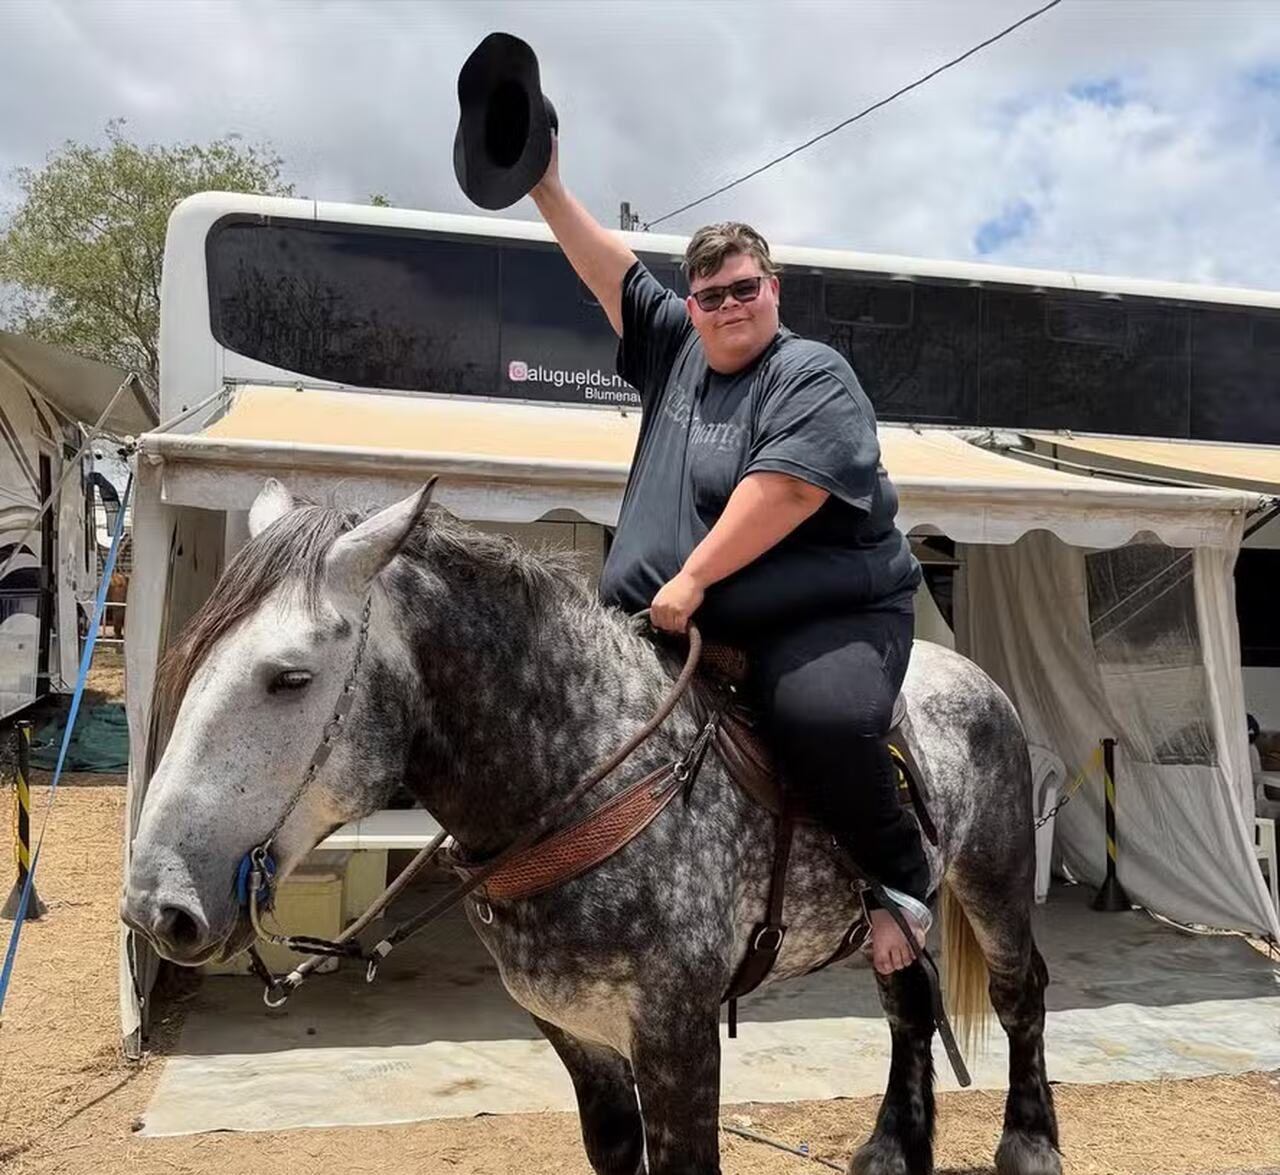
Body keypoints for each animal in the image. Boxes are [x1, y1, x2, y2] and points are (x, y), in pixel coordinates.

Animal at [122, 480, 1059, 1175]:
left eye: (289, 676)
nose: (154, 907)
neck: (587, 778)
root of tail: (969, 674)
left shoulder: (678, 1032)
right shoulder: (575, 1033)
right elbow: (613, 1148)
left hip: (996, 878)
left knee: (1020, 993)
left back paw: (1029, 1142)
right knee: (908, 1007)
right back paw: (893, 1146)